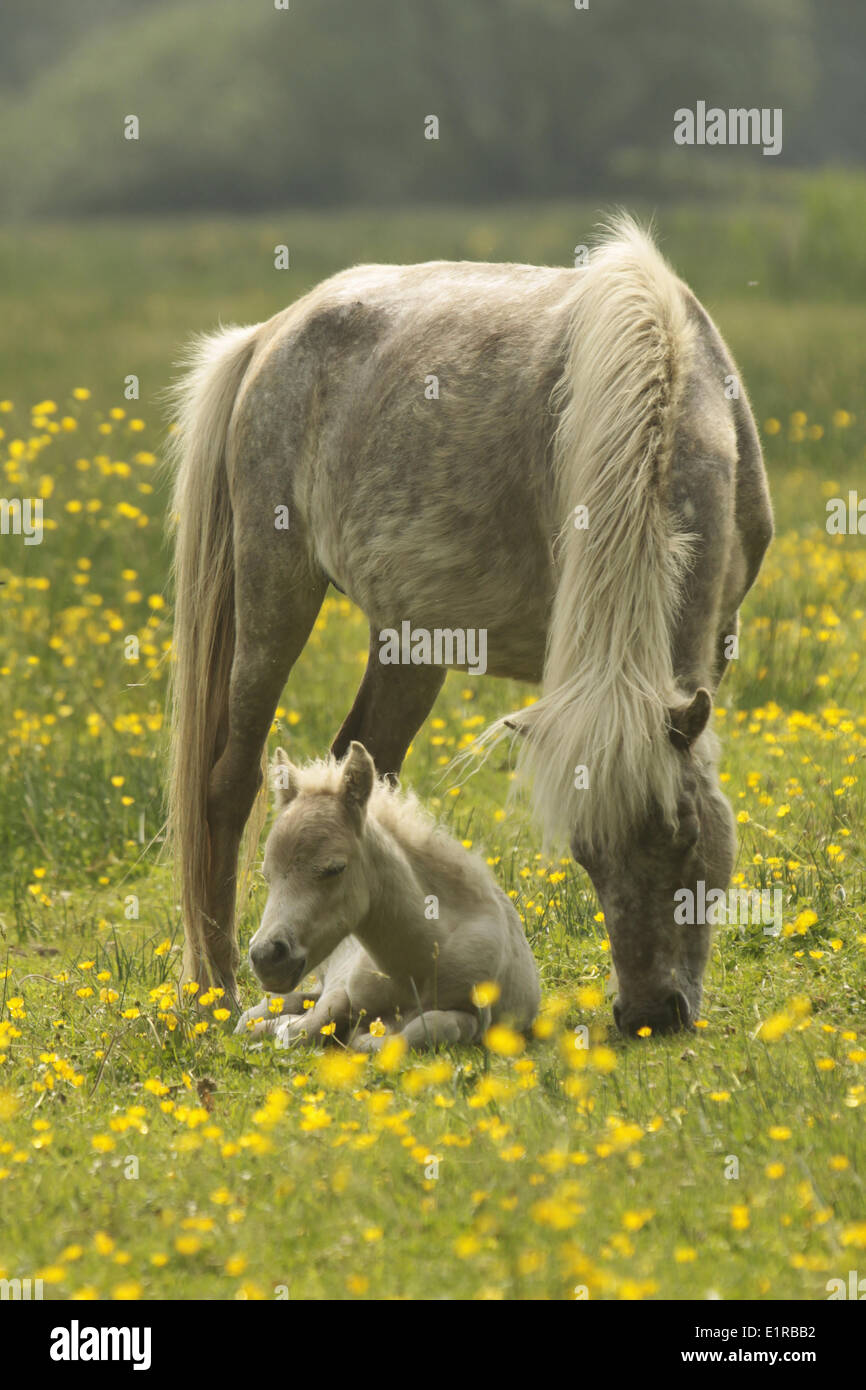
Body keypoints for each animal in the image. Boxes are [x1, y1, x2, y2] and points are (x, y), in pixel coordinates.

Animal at [233, 745, 539, 1045]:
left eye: (335, 869)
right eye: (267, 875)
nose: (265, 958)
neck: (414, 971)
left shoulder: (472, 1017)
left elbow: (415, 1032)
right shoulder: (343, 989)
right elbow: (304, 1030)